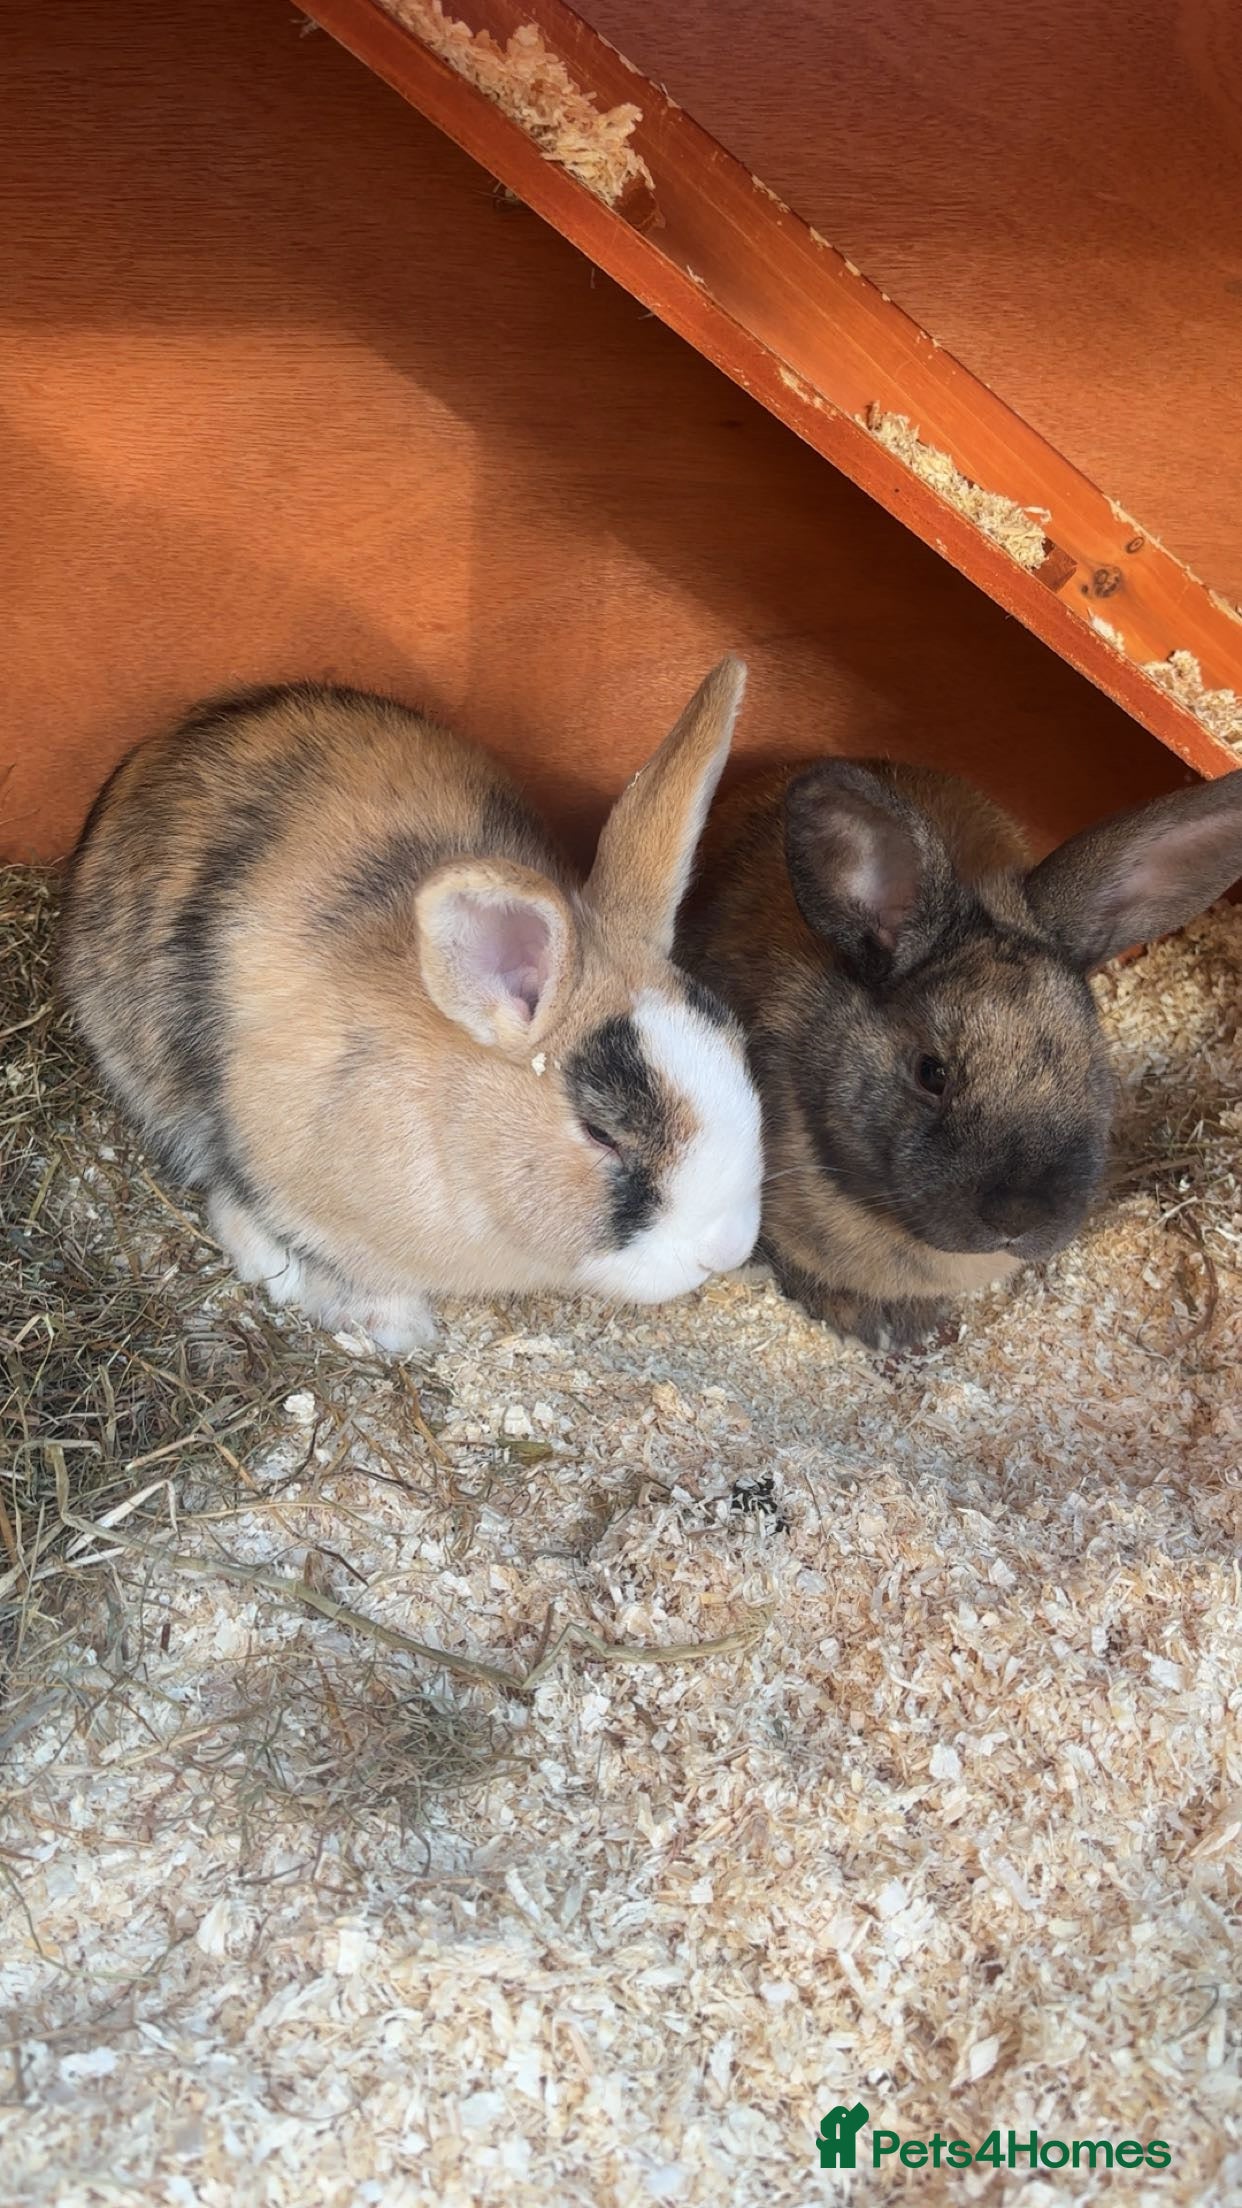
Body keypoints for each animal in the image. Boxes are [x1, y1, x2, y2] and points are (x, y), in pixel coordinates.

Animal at [61, 660, 763, 1353]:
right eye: (601, 1133)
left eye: (738, 1048)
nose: (726, 1251)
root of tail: (163, 742)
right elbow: (248, 1210)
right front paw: (386, 1323)